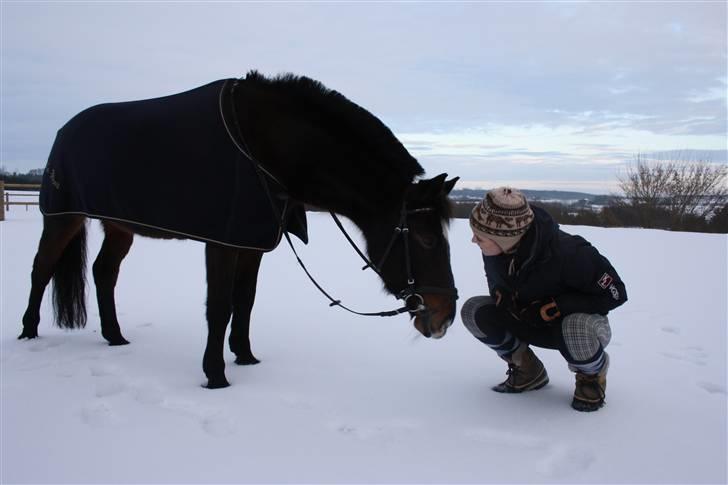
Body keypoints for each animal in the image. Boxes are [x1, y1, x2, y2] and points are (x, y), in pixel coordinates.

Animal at [18, 72, 456, 388]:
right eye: (426, 239)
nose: (444, 318)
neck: (268, 149)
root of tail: (66, 129)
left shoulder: (252, 244)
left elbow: (245, 302)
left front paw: (245, 357)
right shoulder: (223, 243)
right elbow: (219, 306)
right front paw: (215, 375)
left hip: (119, 226)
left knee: (104, 272)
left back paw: (114, 335)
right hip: (62, 217)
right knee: (42, 268)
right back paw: (28, 332)